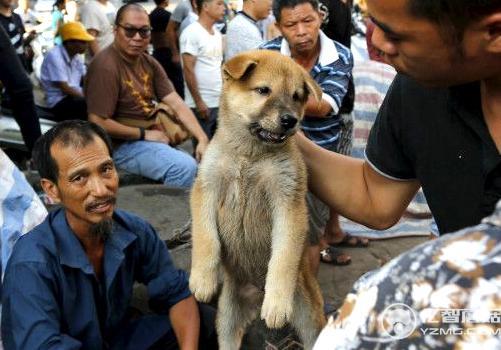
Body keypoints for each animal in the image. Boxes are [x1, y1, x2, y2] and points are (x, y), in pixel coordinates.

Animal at [189, 50, 326, 350]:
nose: (290, 120)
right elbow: (206, 239)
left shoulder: (288, 201)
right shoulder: (206, 188)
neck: (249, 155)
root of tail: (255, 295)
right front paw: (202, 279)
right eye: (263, 90)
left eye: (297, 96)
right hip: (227, 319)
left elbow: (283, 257)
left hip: (308, 317)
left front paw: (276, 303)